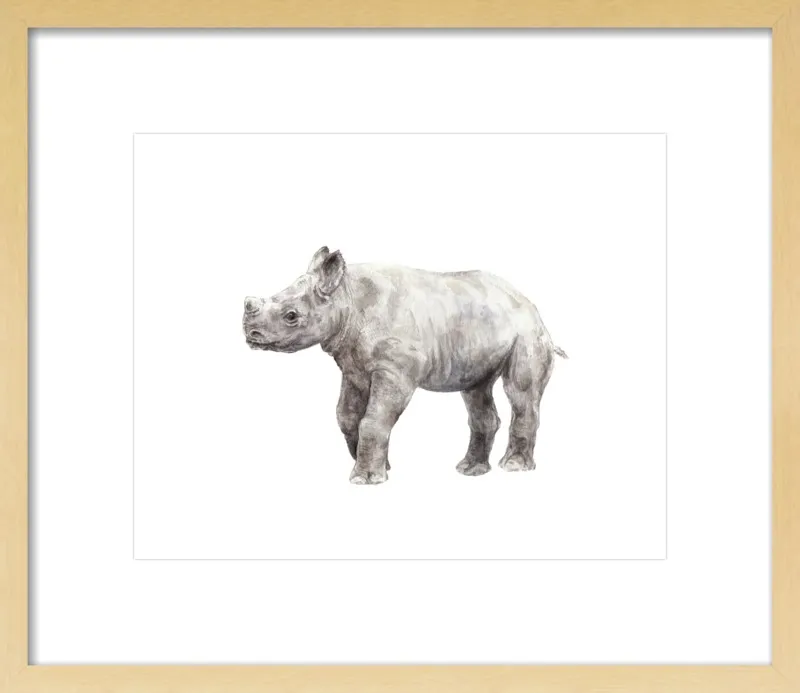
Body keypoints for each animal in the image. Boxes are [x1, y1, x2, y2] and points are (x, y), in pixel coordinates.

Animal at [243, 247, 567, 485]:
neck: (346, 297)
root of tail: (533, 308)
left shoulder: (395, 369)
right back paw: (470, 471)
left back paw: (513, 468)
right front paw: (381, 466)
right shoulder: (354, 366)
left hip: (528, 333)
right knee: (476, 390)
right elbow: (346, 415)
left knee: (520, 392)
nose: (251, 335)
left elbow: (373, 418)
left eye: (291, 316)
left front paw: (365, 479)